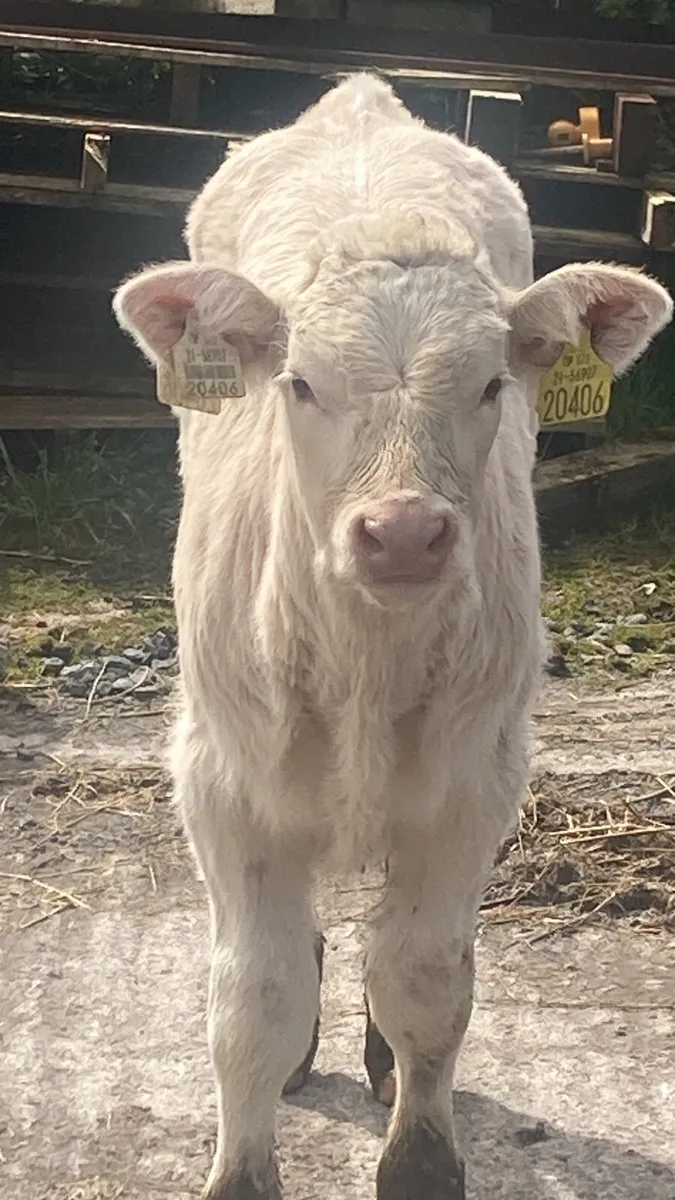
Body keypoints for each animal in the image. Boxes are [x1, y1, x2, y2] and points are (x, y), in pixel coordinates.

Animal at [114, 74, 672, 1200]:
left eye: (494, 385)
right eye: (299, 384)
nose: (405, 531)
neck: (365, 663)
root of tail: (359, 100)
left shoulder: (471, 782)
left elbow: (425, 982)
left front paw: (417, 1153)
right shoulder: (224, 780)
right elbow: (254, 1001)